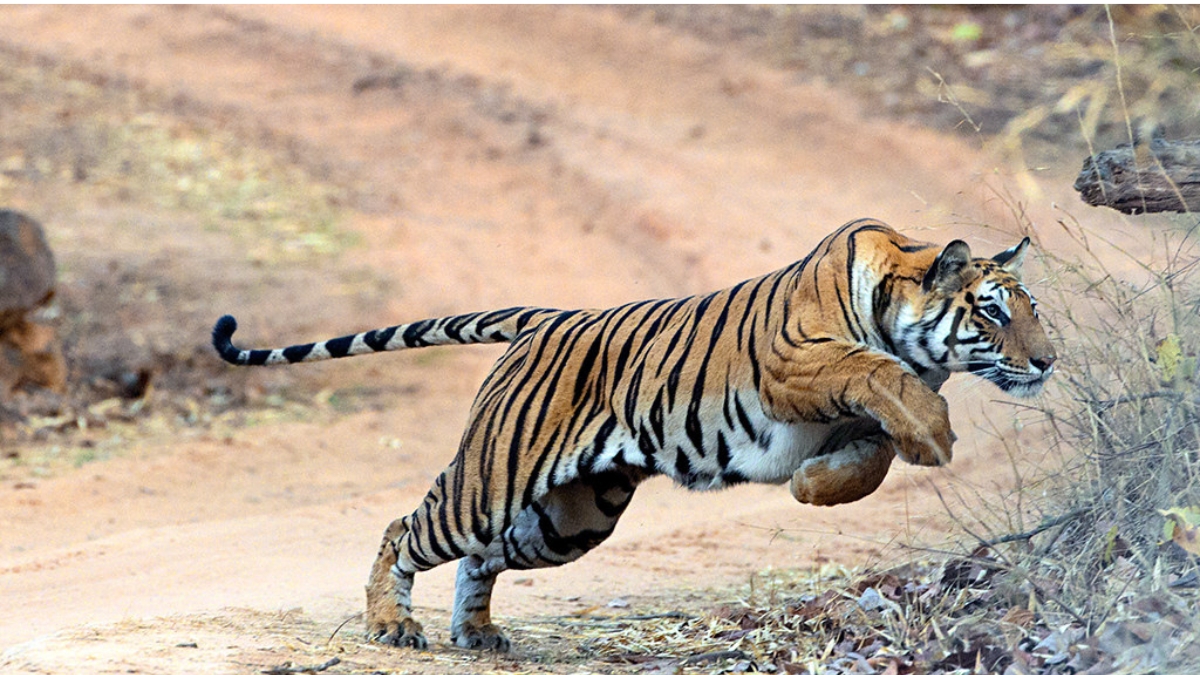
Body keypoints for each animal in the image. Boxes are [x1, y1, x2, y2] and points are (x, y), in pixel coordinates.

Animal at [211, 218, 1055, 652]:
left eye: (1032, 308)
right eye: (992, 312)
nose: (1048, 360)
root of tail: (544, 319)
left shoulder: (844, 419)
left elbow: (869, 459)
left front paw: (820, 485)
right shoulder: (797, 363)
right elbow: (872, 370)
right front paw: (932, 433)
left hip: (568, 517)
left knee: (480, 559)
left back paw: (477, 633)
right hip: (488, 487)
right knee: (404, 527)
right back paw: (391, 623)